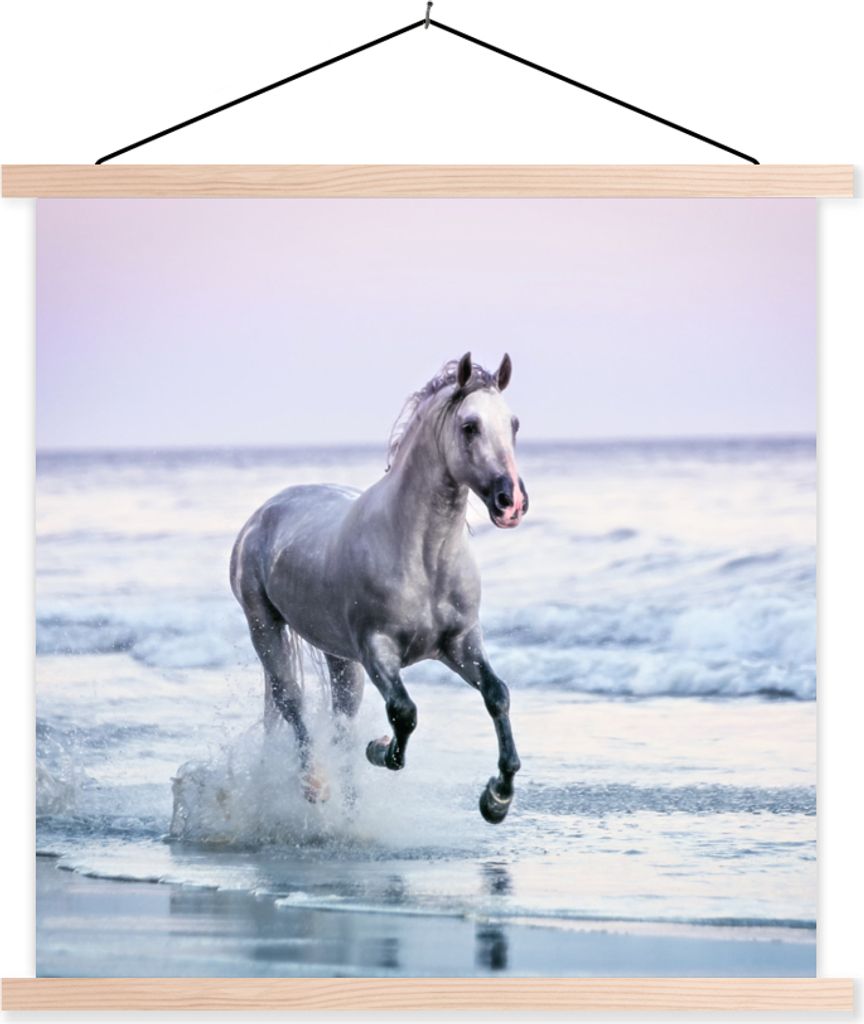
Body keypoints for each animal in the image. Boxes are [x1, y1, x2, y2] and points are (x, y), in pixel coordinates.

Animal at [229, 352, 528, 823]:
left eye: (513, 424)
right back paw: (314, 784)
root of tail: (263, 514)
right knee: (291, 702)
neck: (423, 556)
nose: (511, 502)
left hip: (338, 657)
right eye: (469, 426)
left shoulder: (460, 643)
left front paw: (496, 799)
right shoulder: (377, 650)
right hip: (265, 628)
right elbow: (403, 714)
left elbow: (497, 695)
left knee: (341, 720)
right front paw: (380, 749)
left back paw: (350, 809)